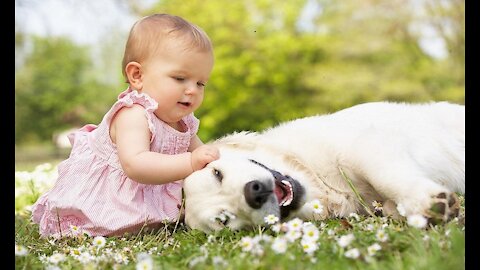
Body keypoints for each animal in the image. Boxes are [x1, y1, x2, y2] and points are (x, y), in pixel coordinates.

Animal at [182, 101, 464, 232]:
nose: (254, 192)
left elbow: (385, 176)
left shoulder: (365, 145)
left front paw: (426, 201)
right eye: (224, 219)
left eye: (217, 173)